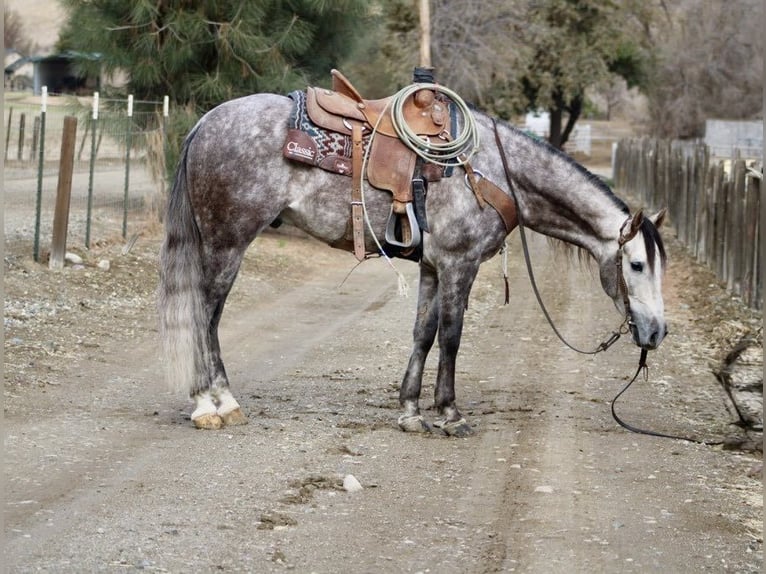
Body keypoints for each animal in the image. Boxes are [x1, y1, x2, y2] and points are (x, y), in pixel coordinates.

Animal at [158, 92, 664, 434]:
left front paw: (410, 411)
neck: (495, 171)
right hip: (227, 243)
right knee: (204, 315)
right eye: (638, 265)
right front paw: (450, 413)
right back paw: (211, 405)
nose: (657, 332)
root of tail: (205, 122)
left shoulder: (432, 267)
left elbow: (423, 332)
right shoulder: (460, 265)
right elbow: (452, 336)